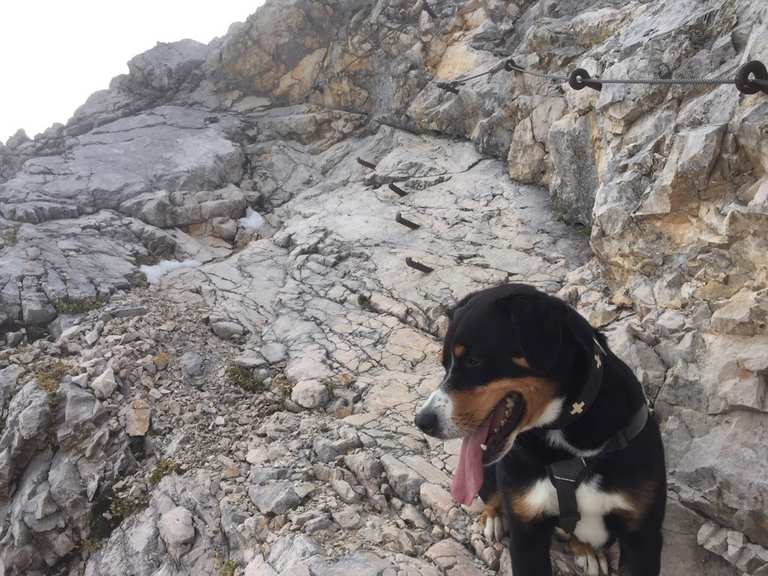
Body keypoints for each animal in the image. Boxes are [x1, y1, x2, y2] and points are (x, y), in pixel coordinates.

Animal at [414, 284, 664, 576]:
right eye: (444, 364)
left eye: (474, 361)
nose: (423, 421)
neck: (566, 442)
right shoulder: (527, 529)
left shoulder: (641, 536)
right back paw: (493, 518)